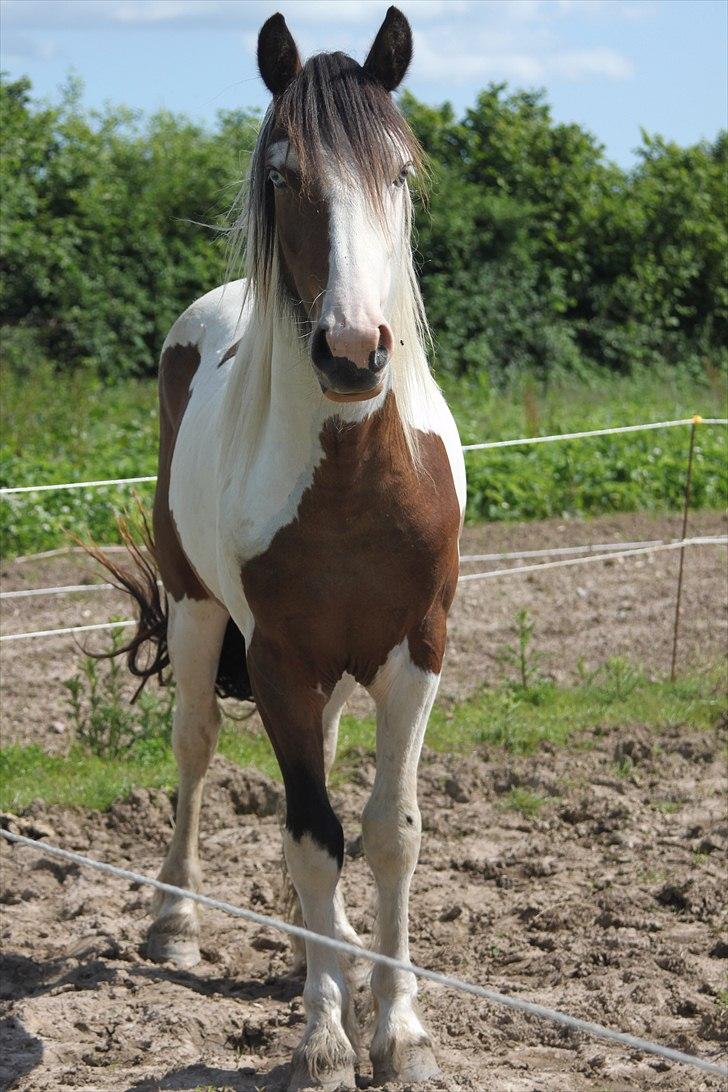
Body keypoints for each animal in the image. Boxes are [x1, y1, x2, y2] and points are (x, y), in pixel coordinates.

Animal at [103, 10, 467, 1092]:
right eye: (282, 173)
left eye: (399, 171)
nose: (353, 352)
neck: (353, 480)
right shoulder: (276, 659)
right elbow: (311, 835)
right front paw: (323, 1038)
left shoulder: (415, 651)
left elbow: (389, 832)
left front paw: (399, 1029)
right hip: (195, 614)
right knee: (192, 745)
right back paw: (177, 924)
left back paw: (326, 950)